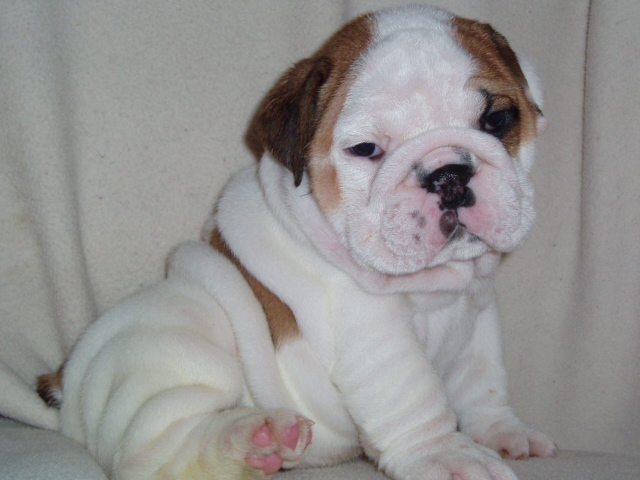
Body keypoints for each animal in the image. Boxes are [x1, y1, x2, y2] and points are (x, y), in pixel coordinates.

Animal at [45, 4, 556, 480]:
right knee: (156, 451)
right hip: (179, 343)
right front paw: (445, 454)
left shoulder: (478, 315)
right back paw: (248, 439)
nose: (448, 175)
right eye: (366, 150)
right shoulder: (373, 329)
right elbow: (414, 396)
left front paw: (503, 431)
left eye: (498, 119)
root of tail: (64, 383)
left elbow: (482, 382)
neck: (441, 284)